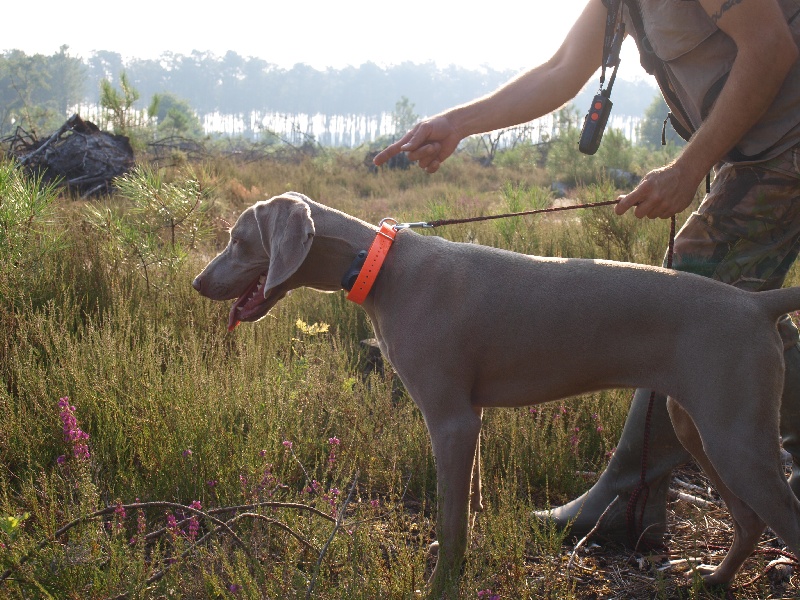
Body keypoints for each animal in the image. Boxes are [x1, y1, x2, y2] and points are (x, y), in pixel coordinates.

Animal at [192, 191, 800, 597]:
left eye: (238, 239)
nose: (197, 283)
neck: (379, 266)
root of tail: (757, 304)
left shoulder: (450, 419)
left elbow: (451, 515)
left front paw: (441, 583)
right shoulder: (472, 416)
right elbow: (472, 500)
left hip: (733, 435)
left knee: (782, 517)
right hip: (696, 425)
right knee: (750, 520)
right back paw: (713, 578)